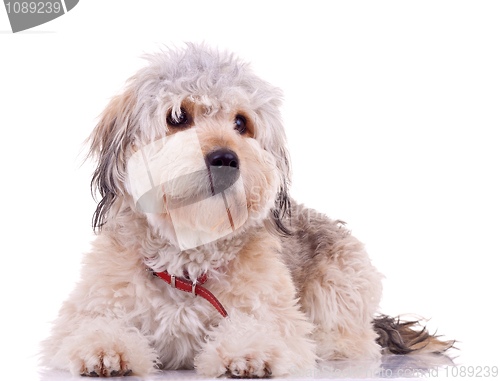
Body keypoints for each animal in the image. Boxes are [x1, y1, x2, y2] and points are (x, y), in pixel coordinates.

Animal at [40, 43, 454, 376]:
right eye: (178, 117)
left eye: (241, 122)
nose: (225, 159)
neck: (188, 266)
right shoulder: (84, 314)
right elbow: (90, 331)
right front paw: (106, 348)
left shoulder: (279, 320)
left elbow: (260, 331)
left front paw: (247, 352)